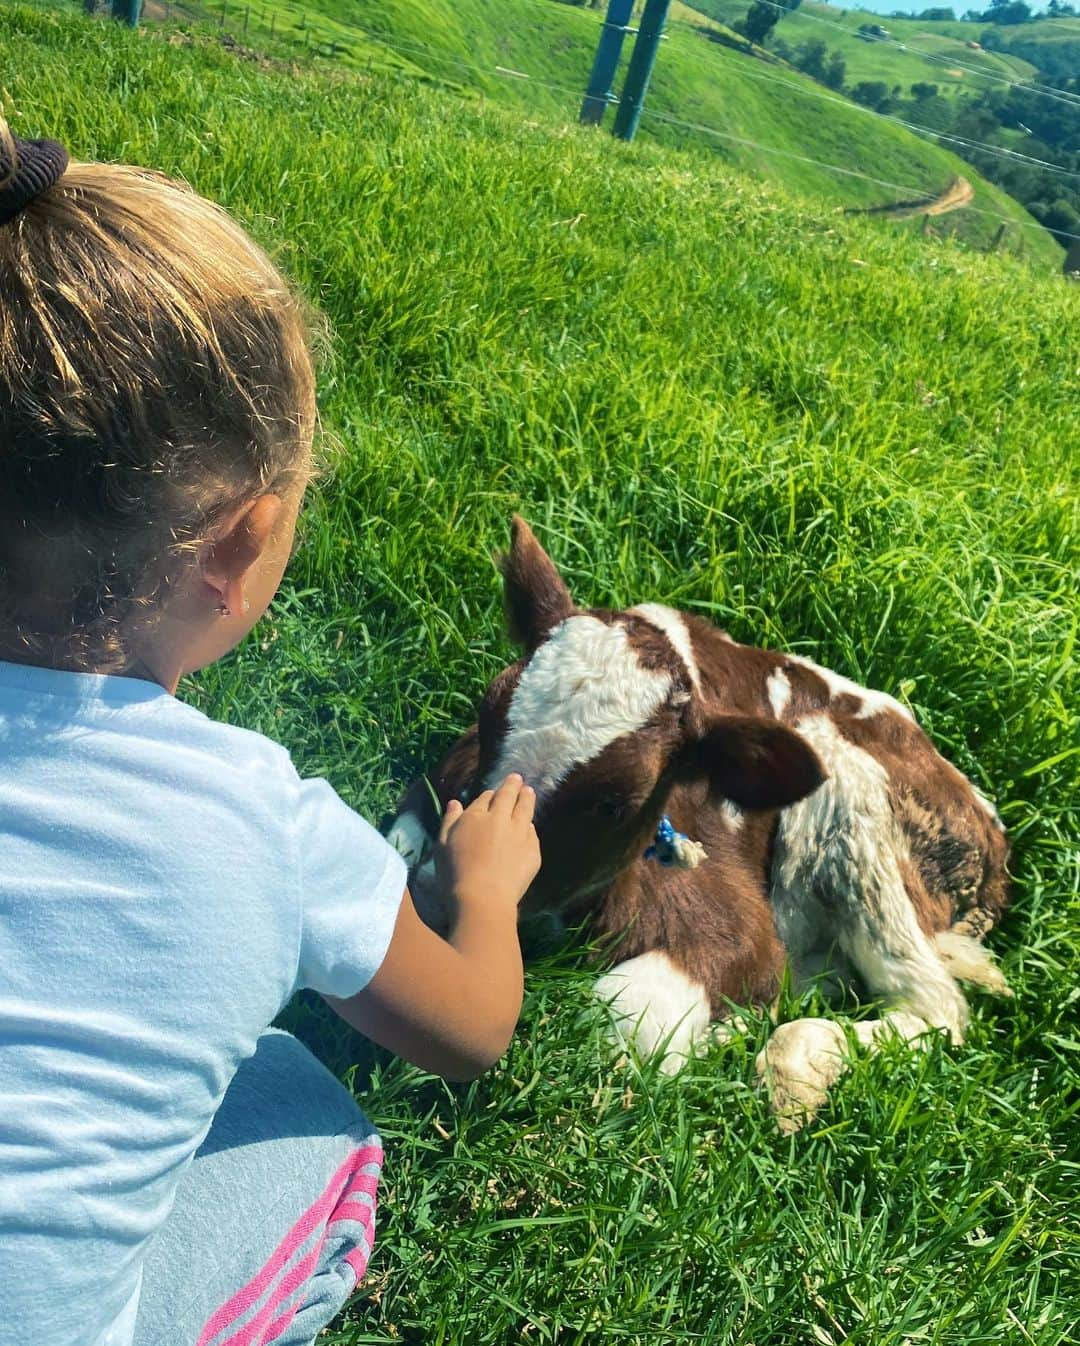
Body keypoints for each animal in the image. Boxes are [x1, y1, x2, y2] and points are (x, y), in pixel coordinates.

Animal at [387, 519, 1012, 1130]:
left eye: (617, 801)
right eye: (488, 713)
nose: (442, 894)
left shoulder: (738, 919)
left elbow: (620, 1022)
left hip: (853, 808)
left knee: (934, 1005)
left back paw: (790, 1063)